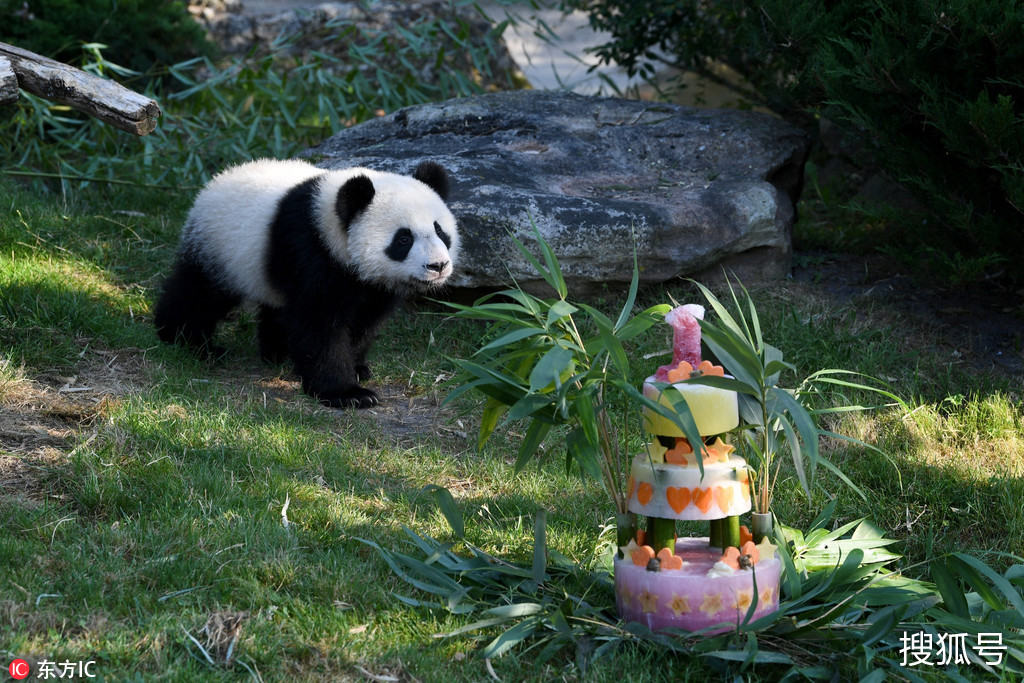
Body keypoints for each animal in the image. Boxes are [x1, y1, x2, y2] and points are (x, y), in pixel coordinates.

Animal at [153, 157, 458, 409]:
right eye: (404, 239)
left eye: (439, 231)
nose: (438, 266)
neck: (330, 224)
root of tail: (216, 180)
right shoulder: (310, 250)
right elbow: (319, 323)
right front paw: (347, 393)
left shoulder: (371, 284)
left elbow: (364, 319)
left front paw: (357, 367)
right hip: (219, 247)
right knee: (199, 292)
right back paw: (186, 340)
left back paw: (276, 353)